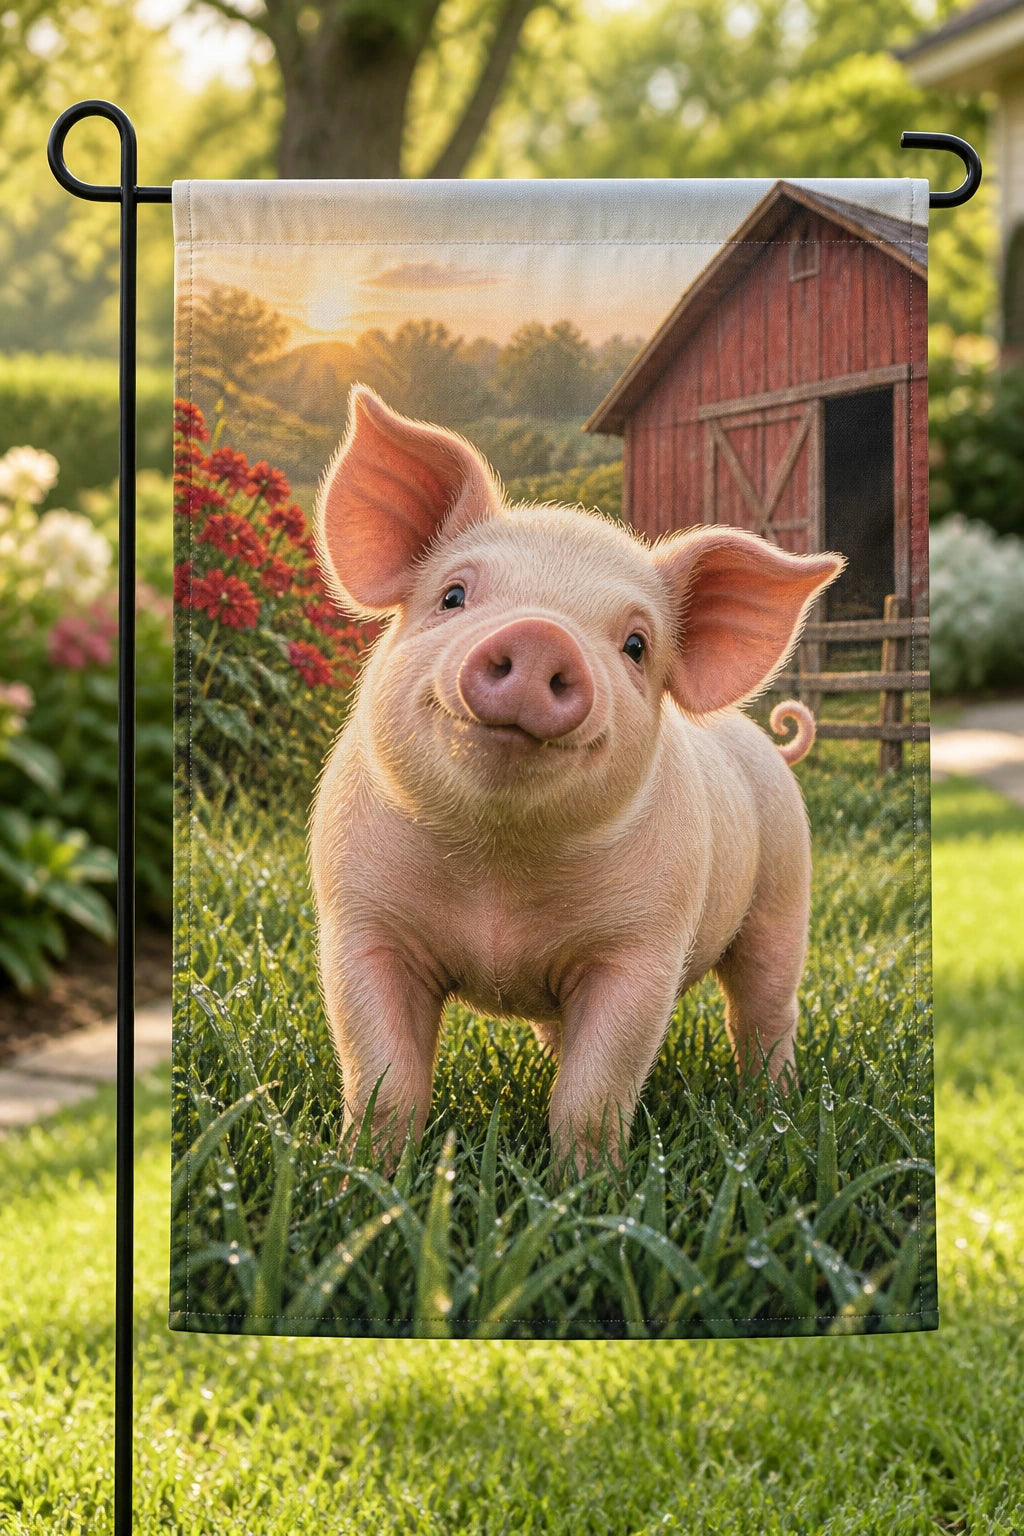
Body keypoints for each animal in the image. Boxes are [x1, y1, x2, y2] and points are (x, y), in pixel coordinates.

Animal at [309, 386, 845, 1171]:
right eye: (452, 596)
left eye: (636, 645)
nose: (540, 635)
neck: (498, 870)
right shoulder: (359, 922)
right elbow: (384, 1083)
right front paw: (368, 1180)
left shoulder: (643, 948)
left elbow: (593, 1098)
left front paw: (586, 1188)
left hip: (784, 892)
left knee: (765, 1011)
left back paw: (773, 1110)